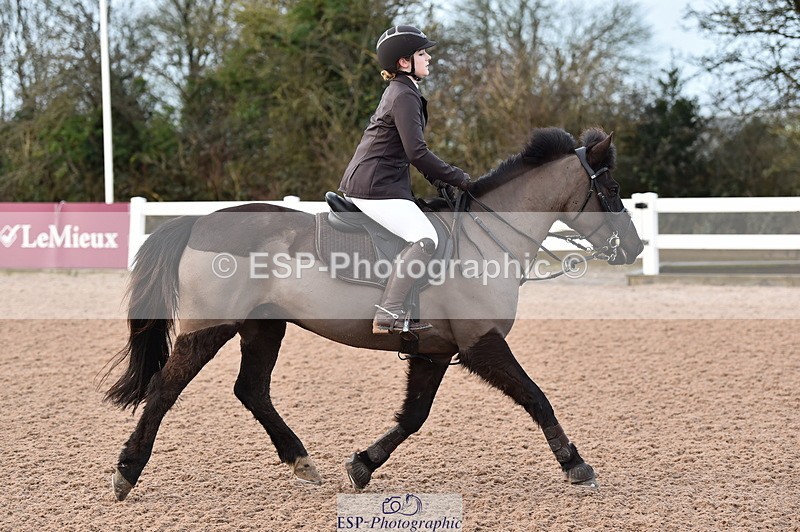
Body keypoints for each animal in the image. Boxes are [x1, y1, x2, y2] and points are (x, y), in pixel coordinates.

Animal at [103, 127, 644, 501]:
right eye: (613, 188)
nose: (635, 248)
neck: (487, 239)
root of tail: (200, 220)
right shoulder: (482, 343)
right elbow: (537, 399)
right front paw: (575, 465)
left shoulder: (434, 351)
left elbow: (414, 416)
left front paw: (363, 464)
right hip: (210, 328)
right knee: (165, 389)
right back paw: (127, 471)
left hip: (264, 326)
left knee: (251, 390)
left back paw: (301, 461)